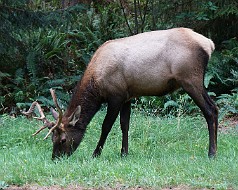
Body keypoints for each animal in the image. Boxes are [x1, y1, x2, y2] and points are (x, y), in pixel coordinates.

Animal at [23, 27, 218, 159]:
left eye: (63, 139)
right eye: (52, 138)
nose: (56, 158)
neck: (96, 85)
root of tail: (209, 44)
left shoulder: (115, 96)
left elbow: (106, 126)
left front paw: (96, 153)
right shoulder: (127, 96)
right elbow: (125, 125)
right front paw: (124, 152)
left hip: (190, 78)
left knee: (209, 110)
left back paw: (211, 152)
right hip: (195, 81)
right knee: (214, 108)